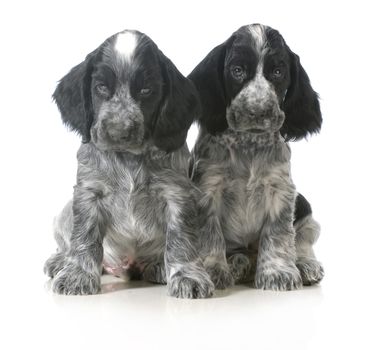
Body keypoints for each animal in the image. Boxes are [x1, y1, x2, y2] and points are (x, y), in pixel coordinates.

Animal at [43, 29, 214, 298]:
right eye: (101, 87)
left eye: (146, 90)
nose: (118, 131)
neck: (128, 158)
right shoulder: (89, 192)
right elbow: (84, 236)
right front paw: (77, 274)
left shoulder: (177, 194)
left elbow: (181, 239)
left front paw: (187, 275)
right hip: (64, 213)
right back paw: (60, 261)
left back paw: (159, 266)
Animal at [188, 24, 324, 292]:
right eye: (237, 70)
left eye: (278, 72)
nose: (258, 111)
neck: (248, 145)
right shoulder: (207, 188)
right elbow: (210, 234)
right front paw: (213, 270)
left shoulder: (281, 189)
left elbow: (278, 233)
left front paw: (278, 273)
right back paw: (238, 263)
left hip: (303, 205)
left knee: (303, 238)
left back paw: (305, 266)